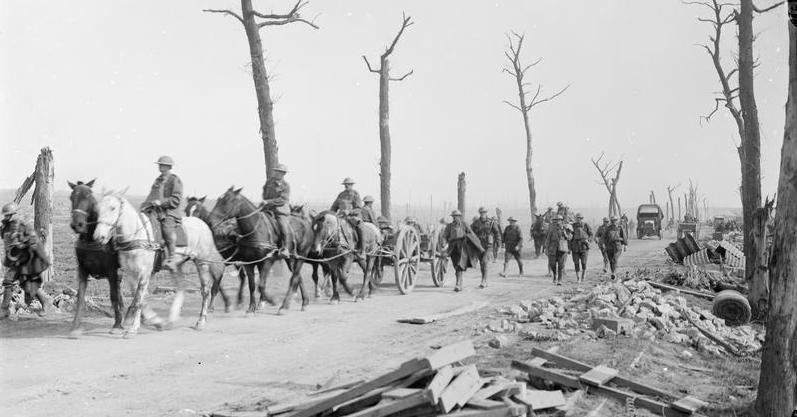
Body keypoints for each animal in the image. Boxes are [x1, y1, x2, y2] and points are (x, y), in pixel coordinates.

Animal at [67, 180, 124, 336]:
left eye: (89, 197)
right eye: (71, 197)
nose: (77, 225)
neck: (92, 239)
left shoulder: (112, 271)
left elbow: (113, 296)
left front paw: (117, 324)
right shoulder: (82, 269)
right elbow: (80, 297)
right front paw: (75, 325)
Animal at [93, 193, 224, 336]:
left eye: (113, 208)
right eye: (98, 209)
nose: (99, 237)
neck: (136, 236)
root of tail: (203, 225)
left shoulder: (144, 273)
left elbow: (139, 299)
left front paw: (133, 329)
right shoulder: (130, 274)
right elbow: (140, 298)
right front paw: (153, 321)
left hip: (202, 263)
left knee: (205, 291)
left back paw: (200, 322)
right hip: (177, 266)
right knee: (181, 288)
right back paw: (171, 319)